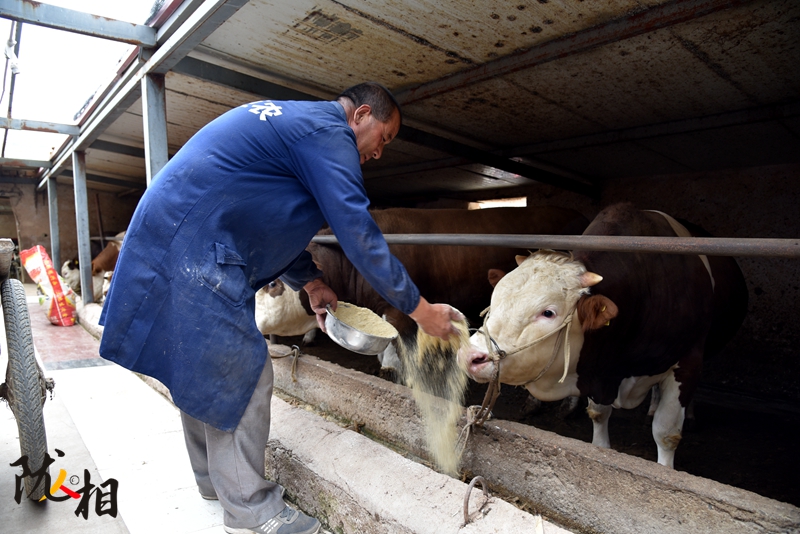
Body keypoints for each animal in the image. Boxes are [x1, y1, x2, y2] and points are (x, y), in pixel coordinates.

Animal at [460, 205, 748, 468]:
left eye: (548, 312)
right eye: (494, 299)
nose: (469, 355)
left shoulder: (686, 362)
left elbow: (666, 434)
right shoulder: (597, 366)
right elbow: (599, 417)